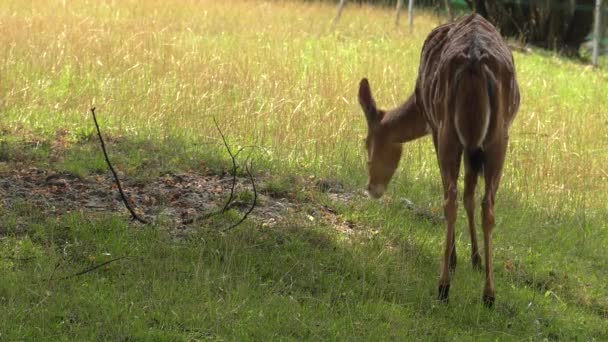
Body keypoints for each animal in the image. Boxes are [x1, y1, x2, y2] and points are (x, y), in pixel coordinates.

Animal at [358, 14, 520, 308]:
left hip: (448, 131)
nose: (372, 187)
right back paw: (488, 294)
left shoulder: (435, 128)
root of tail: (474, 63)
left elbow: (459, 193)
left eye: (367, 143)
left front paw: (460, 259)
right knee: (485, 203)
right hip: (497, 137)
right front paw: (476, 259)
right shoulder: (473, 145)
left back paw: (444, 286)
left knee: (450, 197)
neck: (417, 102)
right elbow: (470, 195)